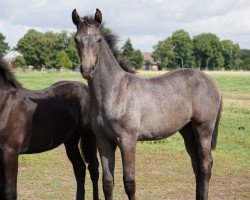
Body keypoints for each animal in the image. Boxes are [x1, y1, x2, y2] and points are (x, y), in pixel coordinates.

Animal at [0, 57, 99, 199]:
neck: (5, 104)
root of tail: (85, 88)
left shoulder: (10, 152)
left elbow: (10, 191)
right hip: (70, 141)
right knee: (79, 168)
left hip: (88, 137)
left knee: (93, 168)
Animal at [73, 8, 223, 199]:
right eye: (76, 39)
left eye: (99, 39)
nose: (87, 69)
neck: (114, 93)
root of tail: (211, 81)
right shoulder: (103, 141)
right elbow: (107, 183)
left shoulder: (128, 140)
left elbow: (129, 182)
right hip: (188, 131)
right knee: (196, 166)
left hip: (203, 129)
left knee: (205, 166)